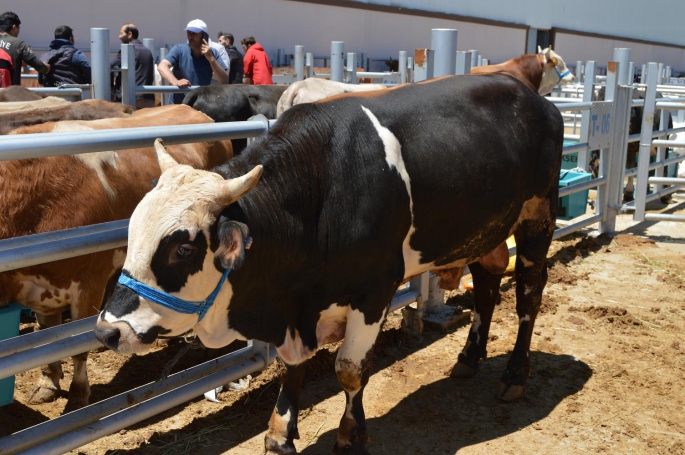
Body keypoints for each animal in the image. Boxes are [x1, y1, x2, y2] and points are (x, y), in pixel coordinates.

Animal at [0, 105, 234, 412]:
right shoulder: (42, 289)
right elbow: (48, 336)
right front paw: (48, 382)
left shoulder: (89, 283)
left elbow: (78, 345)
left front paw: (78, 395)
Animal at [99, 73, 564, 454]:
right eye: (132, 233)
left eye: (182, 248)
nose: (108, 331)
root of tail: (534, 97)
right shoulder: (298, 310)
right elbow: (292, 364)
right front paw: (280, 432)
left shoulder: (374, 292)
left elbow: (350, 370)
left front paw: (351, 434)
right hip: (487, 233)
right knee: (486, 287)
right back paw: (469, 357)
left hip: (536, 217)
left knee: (528, 295)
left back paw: (515, 375)